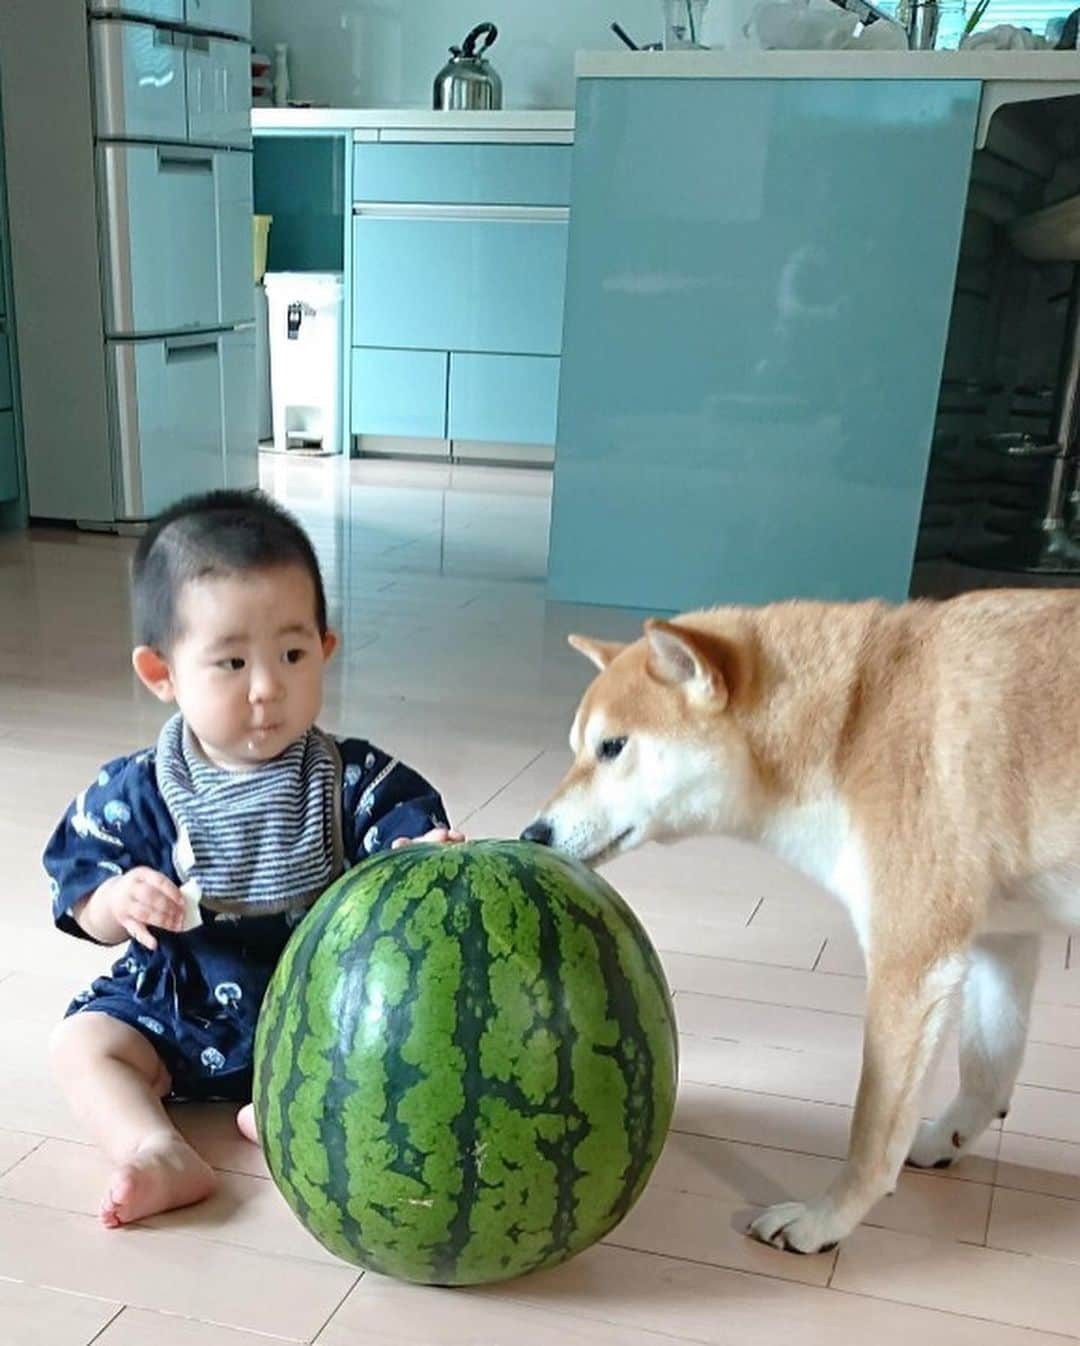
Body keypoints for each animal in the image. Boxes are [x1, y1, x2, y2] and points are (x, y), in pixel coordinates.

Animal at [522, 594, 1077, 1254]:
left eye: (611, 747)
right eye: (579, 747)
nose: (533, 834)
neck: (853, 723)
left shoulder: (913, 960)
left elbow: (871, 1130)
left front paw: (826, 1220)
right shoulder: (1003, 938)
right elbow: (989, 1069)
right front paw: (949, 1137)